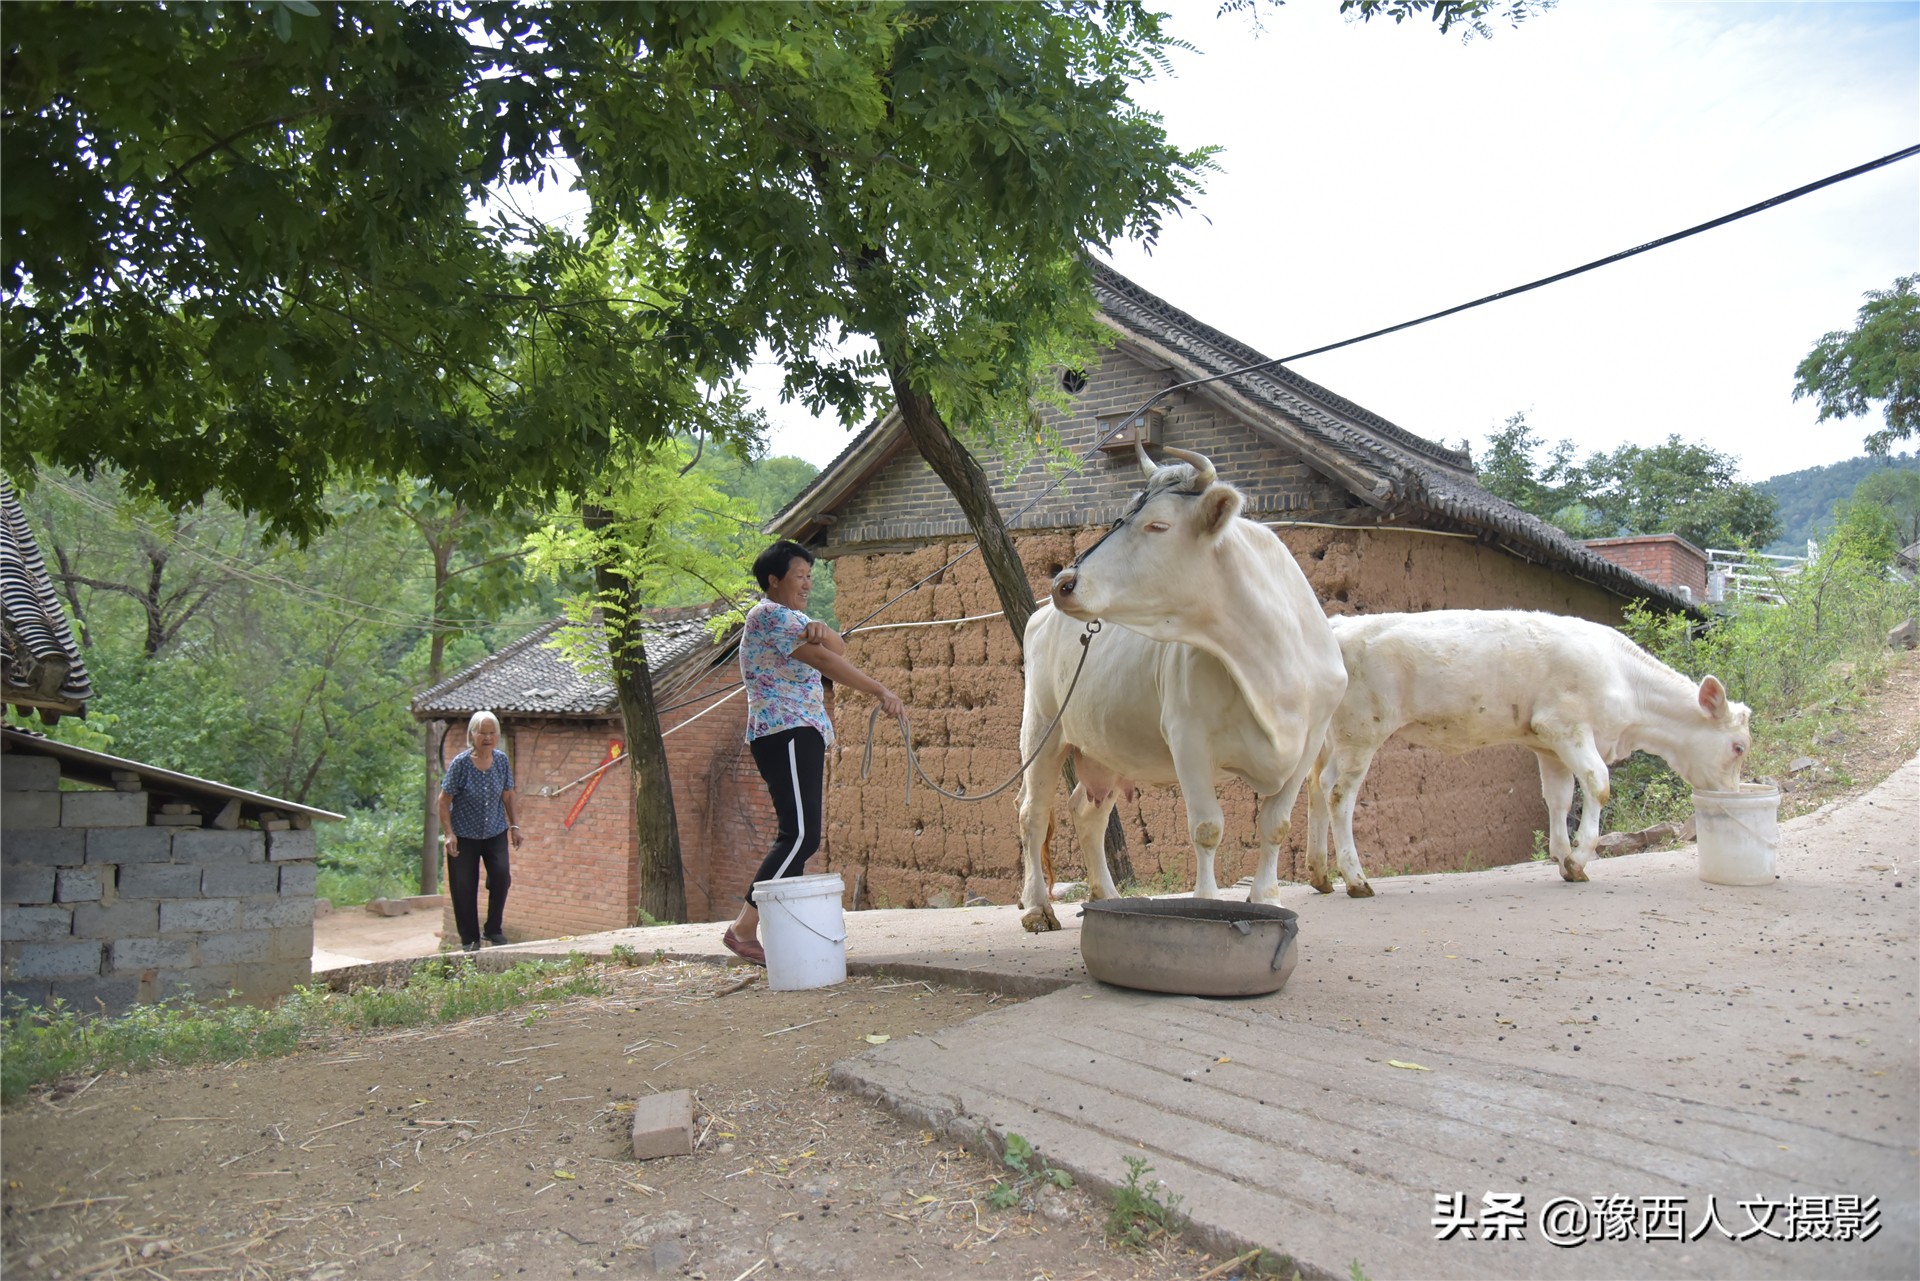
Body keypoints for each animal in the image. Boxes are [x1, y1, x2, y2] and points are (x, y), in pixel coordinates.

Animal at [1021, 449, 1351, 933]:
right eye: (1122, 514)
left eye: (1158, 525)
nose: (1063, 582)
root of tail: (1040, 614)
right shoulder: (1189, 738)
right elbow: (1207, 828)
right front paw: (1206, 902)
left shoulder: (1307, 745)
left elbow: (1275, 825)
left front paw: (1266, 898)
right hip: (1042, 729)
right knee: (1033, 812)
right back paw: (1036, 908)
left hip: (1104, 749)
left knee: (1087, 811)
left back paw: (1107, 895)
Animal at [1305, 610, 1758, 891]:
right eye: (1738, 747)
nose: (1731, 799)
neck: (1627, 684)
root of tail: (1339, 625)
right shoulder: (1566, 726)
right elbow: (1598, 784)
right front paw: (1581, 857)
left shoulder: (1548, 744)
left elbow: (1558, 799)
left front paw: (1564, 859)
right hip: (1361, 731)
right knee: (1339, 795)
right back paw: (1356, 880)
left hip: (1330, 737)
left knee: (1315, 789)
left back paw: (1321, 876)